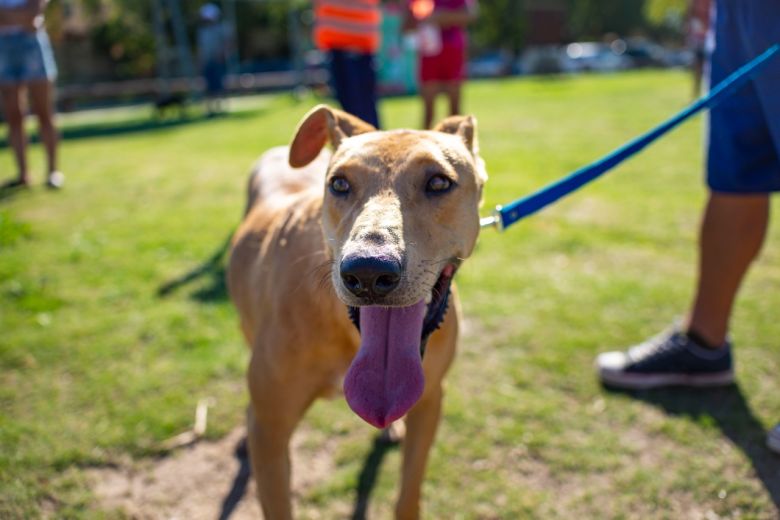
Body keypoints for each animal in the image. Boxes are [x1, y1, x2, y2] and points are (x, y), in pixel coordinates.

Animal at [227, 103, 488, 516]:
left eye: (438, 182)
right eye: (339, 184)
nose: (367, 271)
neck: (345, 330)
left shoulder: (430, 400)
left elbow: (408, 492)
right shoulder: (271, 433)